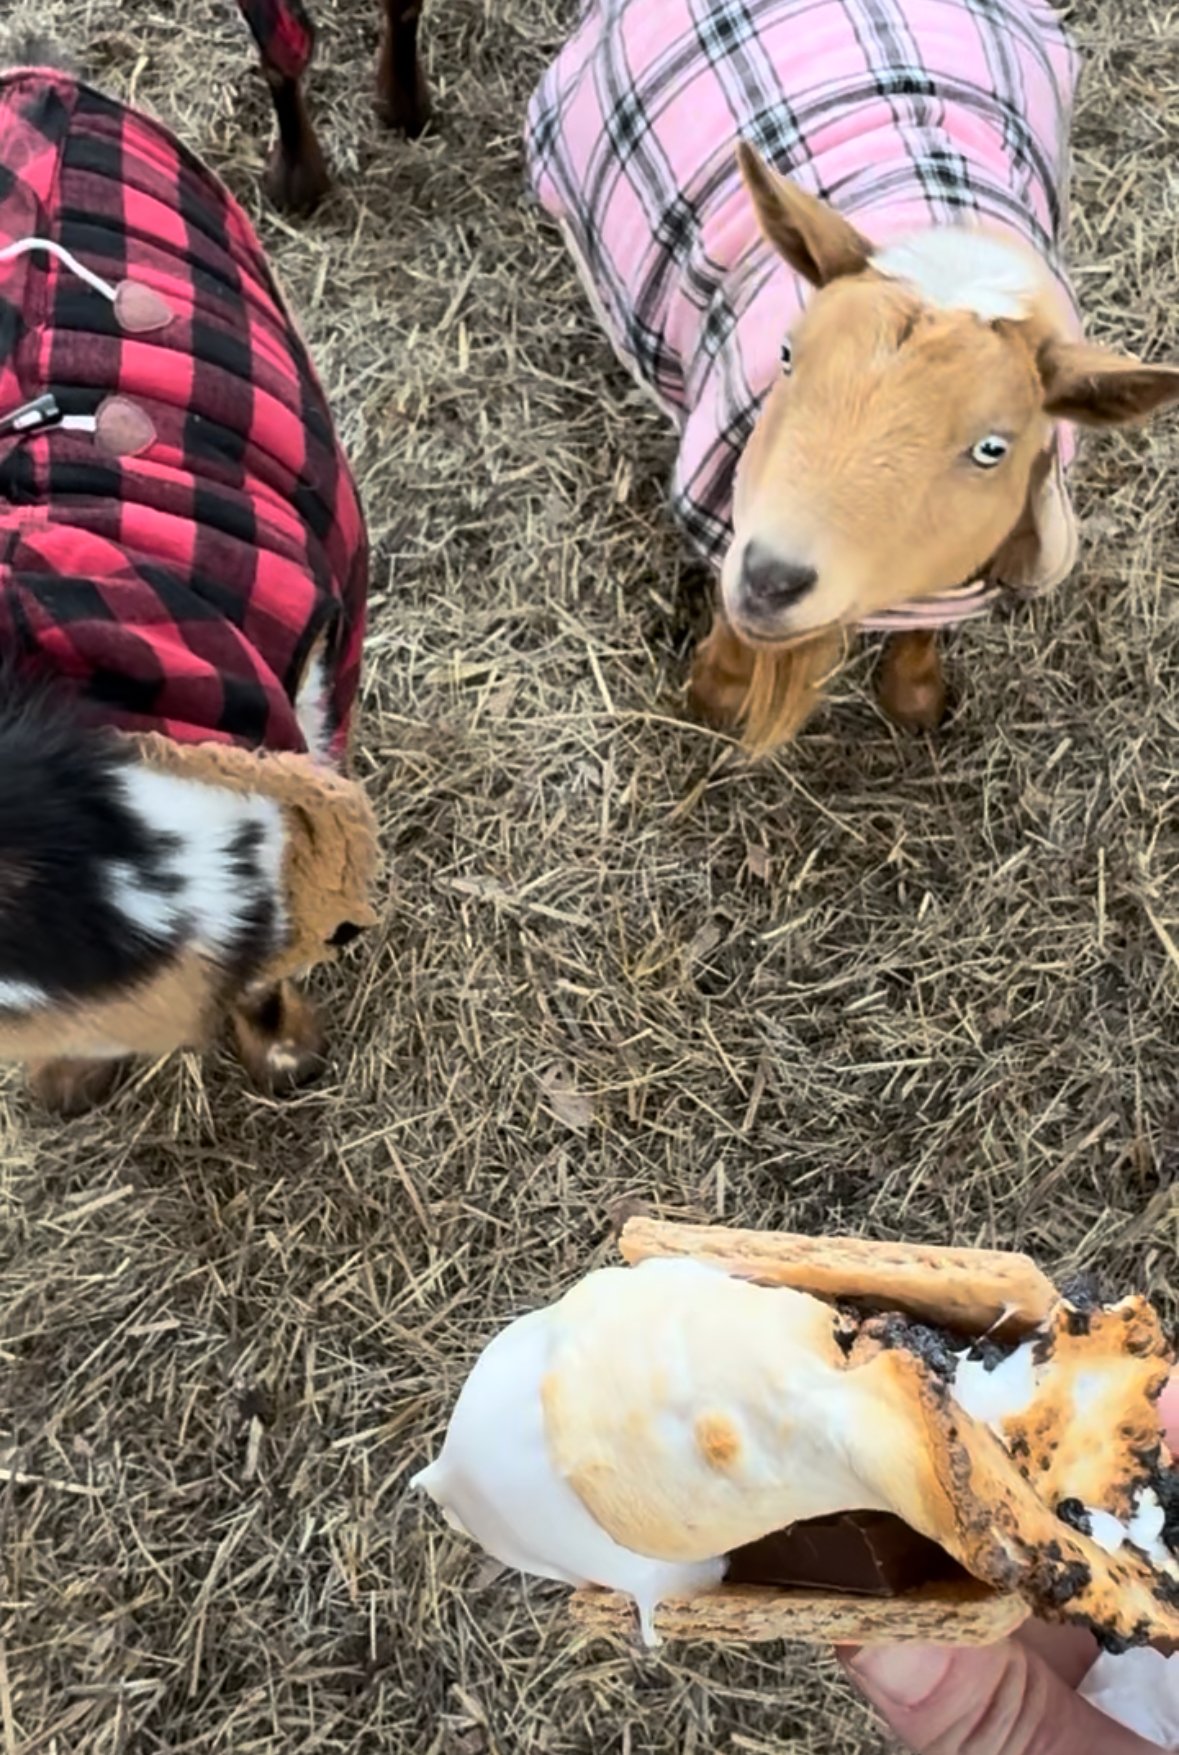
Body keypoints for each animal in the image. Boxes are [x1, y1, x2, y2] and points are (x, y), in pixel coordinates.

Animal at [525, 0, 1179, 751]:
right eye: (787, 355)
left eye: (993, 448)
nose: (772, 577)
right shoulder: (726, 519)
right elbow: (729, 644)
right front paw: (714, 694)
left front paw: (915, 699)